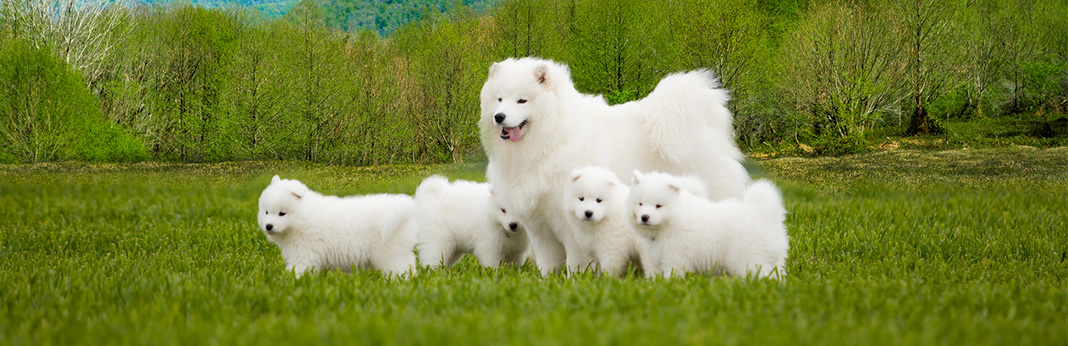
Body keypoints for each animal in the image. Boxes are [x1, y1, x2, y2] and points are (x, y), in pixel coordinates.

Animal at [256, 176, 418, 277]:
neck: (303, 216)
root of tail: (406, 206)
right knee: (410, 263)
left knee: (398, 269)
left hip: (389, 254)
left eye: (282, 213)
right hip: (400, 250)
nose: (268, 226)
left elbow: (299, 268)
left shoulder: (304, 252)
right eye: (266, 212)